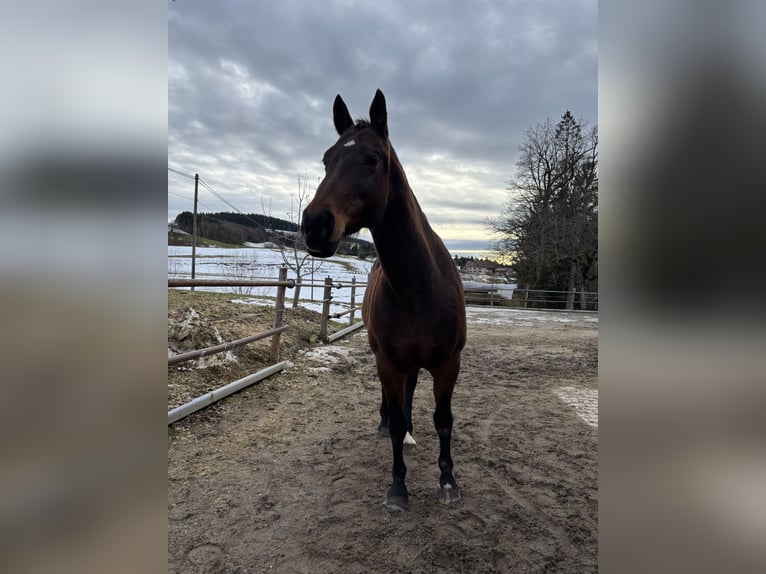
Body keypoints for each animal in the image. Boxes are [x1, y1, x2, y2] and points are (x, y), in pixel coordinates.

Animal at [301, 89, 466, 511]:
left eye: (373, 158)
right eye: (326, 159)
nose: (315, 225)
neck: (418, 288)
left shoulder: (448, 364)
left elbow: (444, 420)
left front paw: (447, 481)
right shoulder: (389, 362)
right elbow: (394, 420)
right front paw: (398, 488)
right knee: (394, 406)